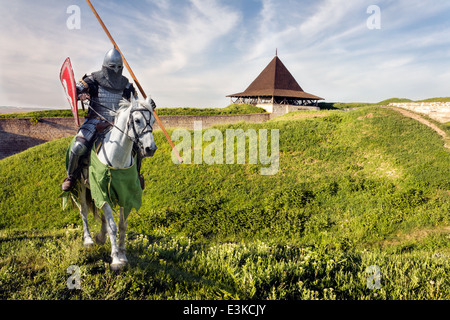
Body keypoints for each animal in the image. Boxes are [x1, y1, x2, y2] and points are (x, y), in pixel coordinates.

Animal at [74, 97, 156, 270]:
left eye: (152, 120)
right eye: (137, 120)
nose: (150, 149)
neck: (118, 155)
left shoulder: (126, 194)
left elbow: (122, 225)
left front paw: (123, 255)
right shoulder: (102, 192)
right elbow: (113, 225)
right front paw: (116, 259)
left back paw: (100, 236)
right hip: (81, 185)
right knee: (84, 210)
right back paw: (89, 239)